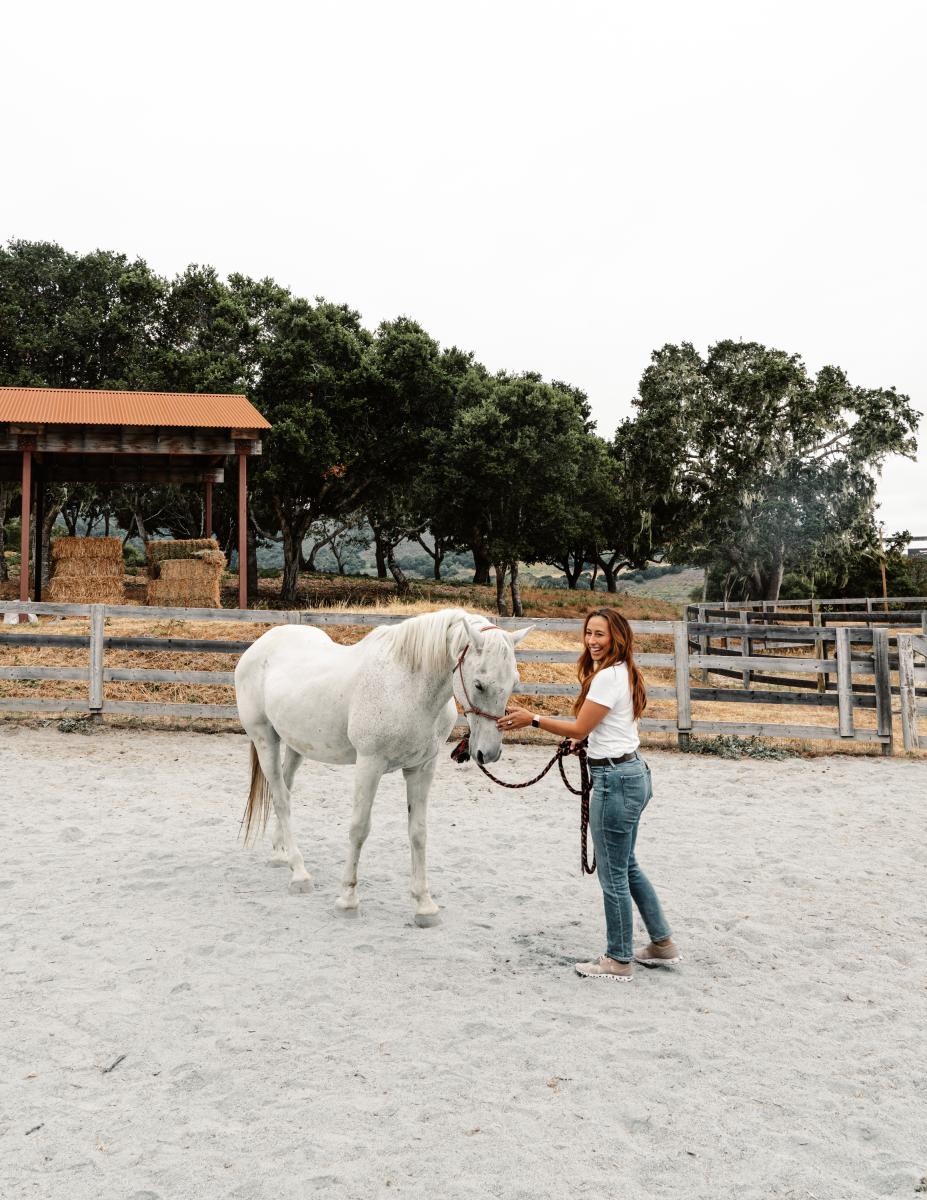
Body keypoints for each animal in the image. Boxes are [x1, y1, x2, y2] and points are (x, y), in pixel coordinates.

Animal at [235, 609, 528, 926]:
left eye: (514, 682)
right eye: (478, 684)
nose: (490, 752)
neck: (408, 687)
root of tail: (259, 646)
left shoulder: (422, 767)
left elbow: (418, 832)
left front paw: (424, 906)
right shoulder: (369, 763)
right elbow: (359, 828)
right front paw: (347, 900)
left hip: (295, 745)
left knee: (284, 791)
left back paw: (282, 856)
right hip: (265, 739)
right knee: (281, 799)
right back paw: (300, 875)